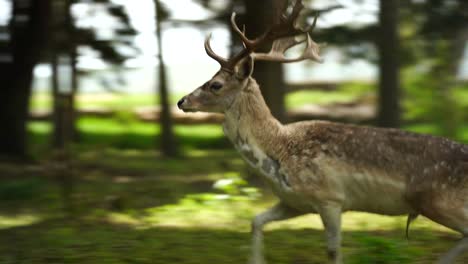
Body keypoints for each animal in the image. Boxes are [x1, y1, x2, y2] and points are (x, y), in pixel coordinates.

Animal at [176, 1, 468, 262]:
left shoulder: (330, 198)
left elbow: (333, 252)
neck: (278, 153)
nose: (181, 101)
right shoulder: (294, 201)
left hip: (438, 199)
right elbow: (256, 221)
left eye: (215, 84)